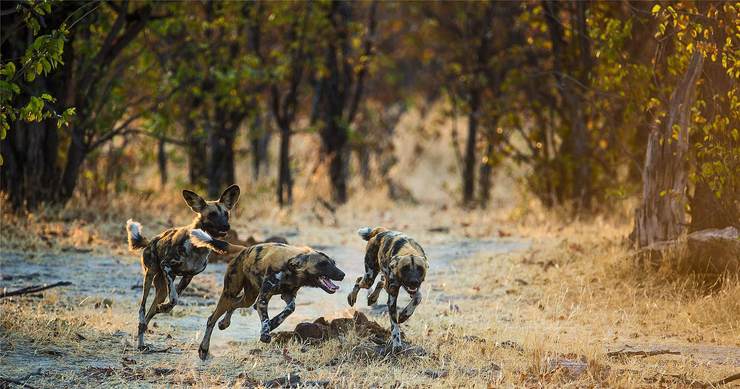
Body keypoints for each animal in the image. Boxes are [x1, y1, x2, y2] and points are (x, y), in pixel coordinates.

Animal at [125, 184, 240, 348]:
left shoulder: (188, 277)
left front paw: (164, 308)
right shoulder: (167, 267)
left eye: (226, 214)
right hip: (150, 275)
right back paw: (140, 343)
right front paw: (166, 306)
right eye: (212, 214)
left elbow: (174, 299)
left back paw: (144, 337)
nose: (226, 226)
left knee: (149, 314)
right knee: (142, 308)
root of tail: (151, 241)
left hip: (161, 291)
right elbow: (174, 298)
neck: (198, 247)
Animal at [198, 241, 346, 360]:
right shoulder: (263, 299)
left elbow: (289, 309)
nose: (342, 274)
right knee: (212, 318)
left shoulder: (287, 296)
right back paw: (203, 349)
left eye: (333, 263)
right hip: (230, 292)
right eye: (323, 264)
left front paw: (273, 323)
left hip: (249, 297)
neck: (290, 270)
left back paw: (224, 323)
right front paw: (265, 333)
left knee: (234, 304)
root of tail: (245, 249)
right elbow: (264, 318)